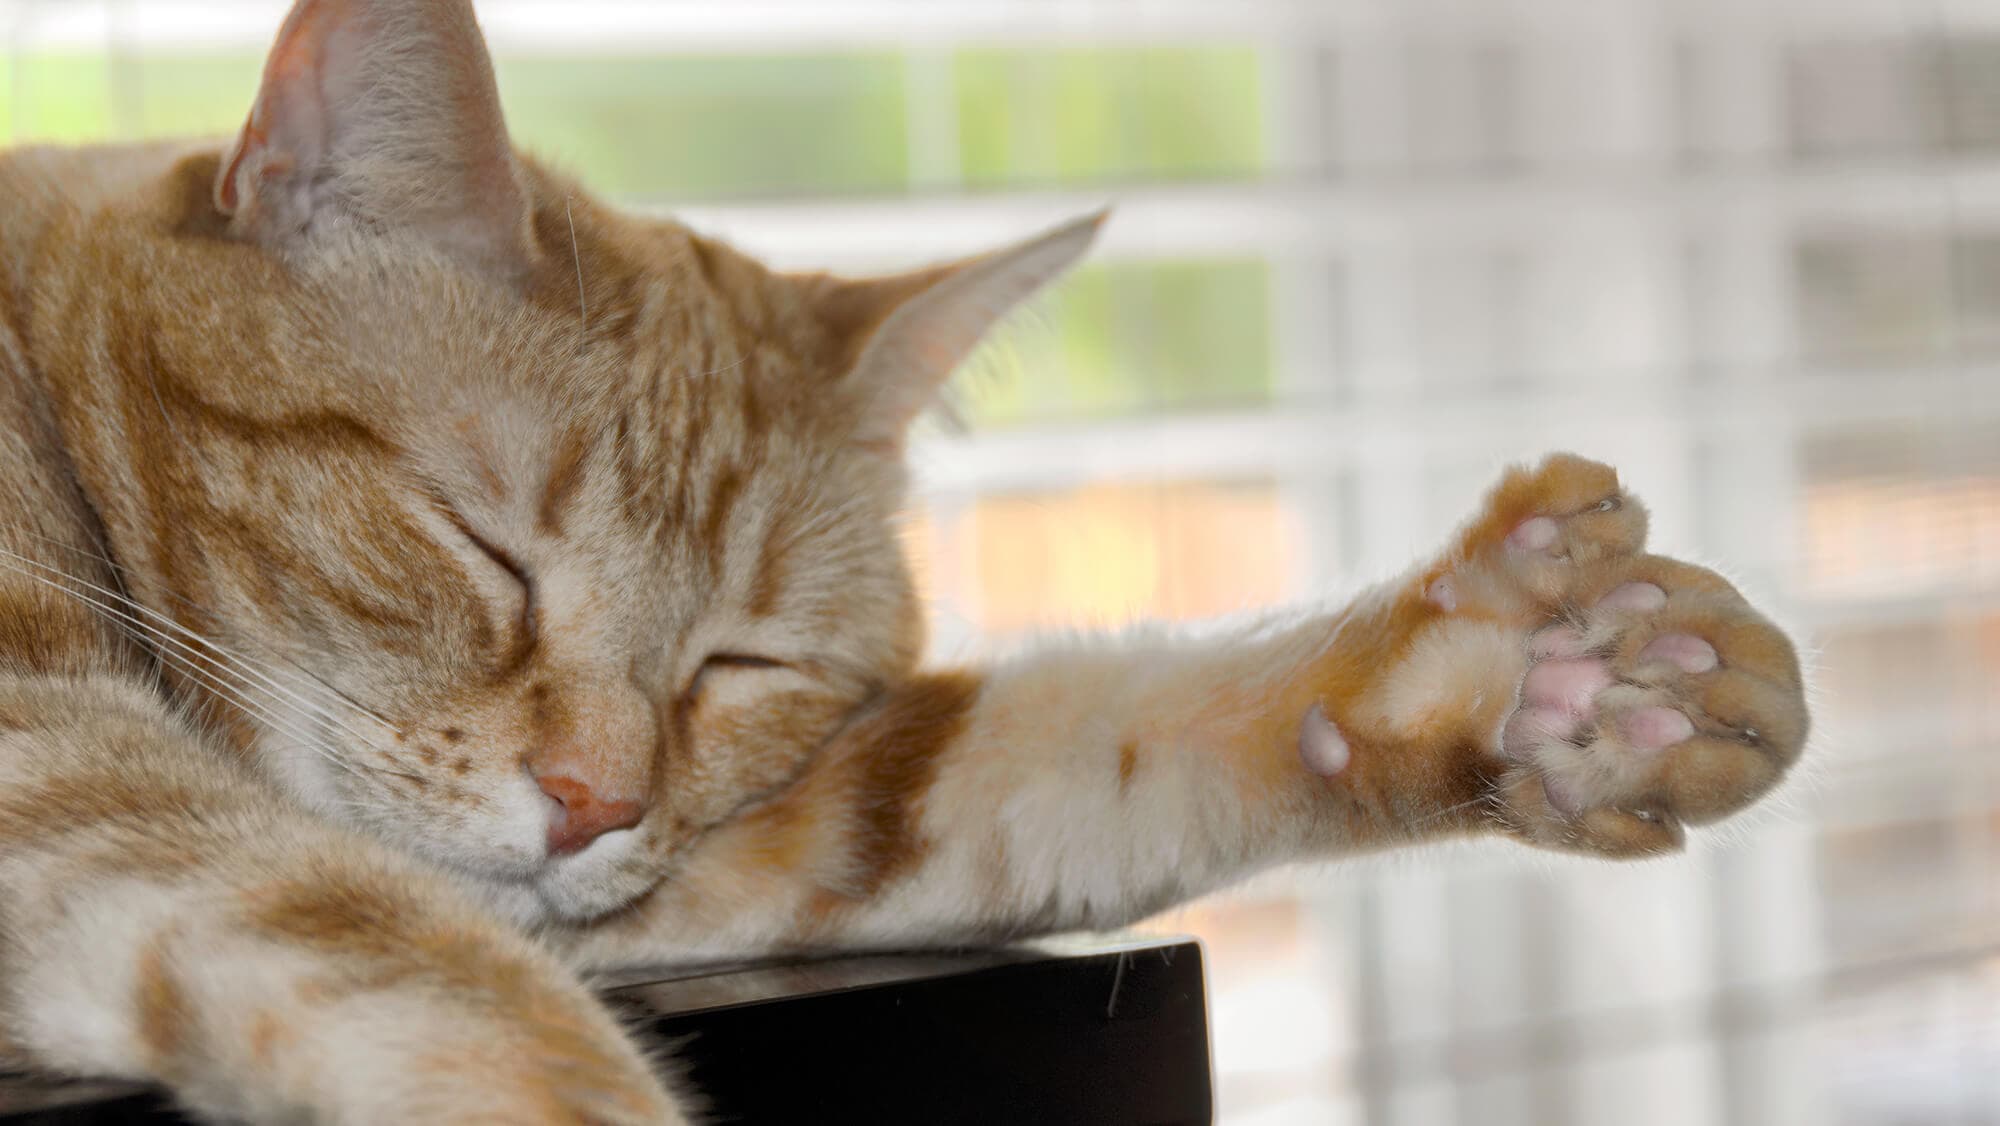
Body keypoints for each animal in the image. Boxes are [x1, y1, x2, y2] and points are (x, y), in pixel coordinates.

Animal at [0, 2, 1816, 1120]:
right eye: (486, 550)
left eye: (739, 662)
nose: (593, 805)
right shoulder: (62, 761)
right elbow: (423, 975)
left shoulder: (694, 862)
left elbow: (1058, 752)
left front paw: (1515, 676)